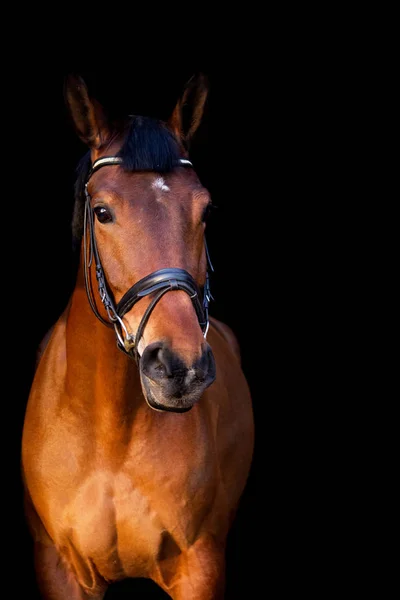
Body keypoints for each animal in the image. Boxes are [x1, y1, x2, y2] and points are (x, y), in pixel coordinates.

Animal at [21, 72, 253, 596]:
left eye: (205, 210)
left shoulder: (199, 567)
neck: (112, 432)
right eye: (103, 212)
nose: (179, 368)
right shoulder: (60, 568)